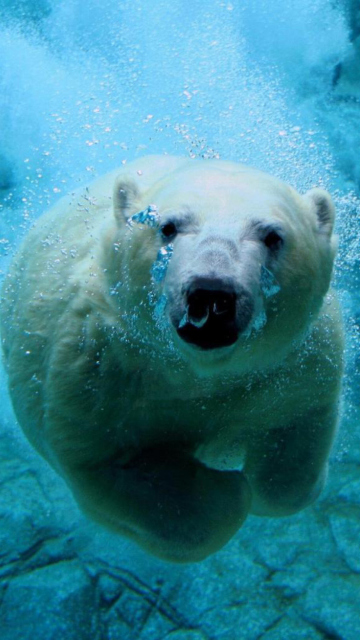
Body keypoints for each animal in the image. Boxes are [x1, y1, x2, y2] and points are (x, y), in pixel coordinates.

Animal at [0, 158, 344, 564]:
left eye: (273, 236)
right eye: (167, 226)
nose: (212, 293)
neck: (196, 371)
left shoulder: (293, 363)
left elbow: (295, 441)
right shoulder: (96, 369)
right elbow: (109, 464)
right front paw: (226, 489)